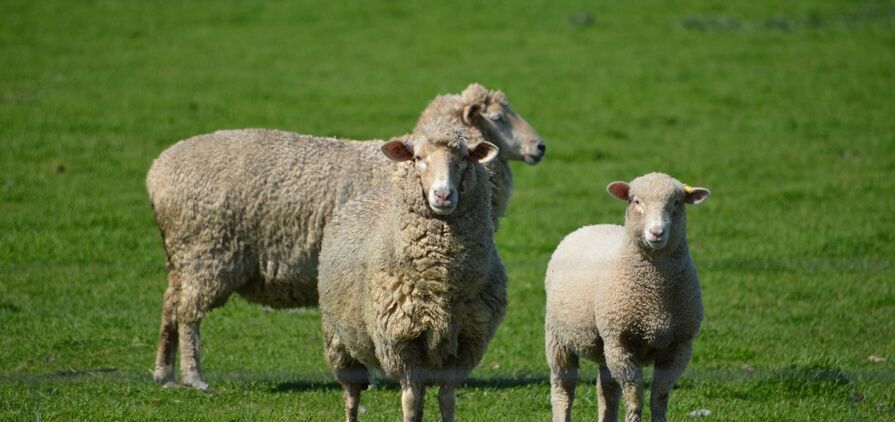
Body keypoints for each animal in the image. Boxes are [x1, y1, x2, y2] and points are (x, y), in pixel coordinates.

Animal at [147, 83, 539, 390]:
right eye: (498, 118)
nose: (540, 148)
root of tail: (156, 173)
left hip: (182, 257)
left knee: (169, 307)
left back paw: (164, 374)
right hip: (207, 253)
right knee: (188, 315)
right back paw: (194, 378)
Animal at [318, 119, 507, 422]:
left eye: (464, 158)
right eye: (418, 158)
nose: (443, 194)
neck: (442, 283)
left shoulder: (466, 342)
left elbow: (447, 400)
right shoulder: (401, 342)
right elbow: (410, 400)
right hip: (339, 341)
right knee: (352, 395)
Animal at [544, 172, 710, 422]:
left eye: (676, 203)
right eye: (636, 201)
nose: (657, 232)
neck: (655, 293)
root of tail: (590, 225)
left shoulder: (679, 347)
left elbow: (659, 397)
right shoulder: (620, 344)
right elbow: (634, 395)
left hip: (603, 347)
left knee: (606, 391)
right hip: (559, 338)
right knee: (563, 390)